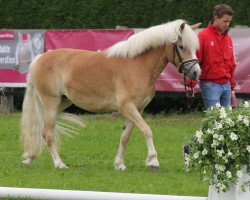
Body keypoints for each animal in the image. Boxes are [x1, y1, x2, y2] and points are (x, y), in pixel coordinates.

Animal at [21, 19, 201, 171]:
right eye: (182, 46)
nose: (196, 72)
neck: (138, 65)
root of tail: (40, 58)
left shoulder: (137, 109)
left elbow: (125, 137)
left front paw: (119, 164)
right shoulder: (127, 107)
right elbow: (147, 130)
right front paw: (153, 161)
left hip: (60, 104)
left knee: (41, 131)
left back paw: (30, 157)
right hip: (50, 103)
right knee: (48, 134)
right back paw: (59, 164)